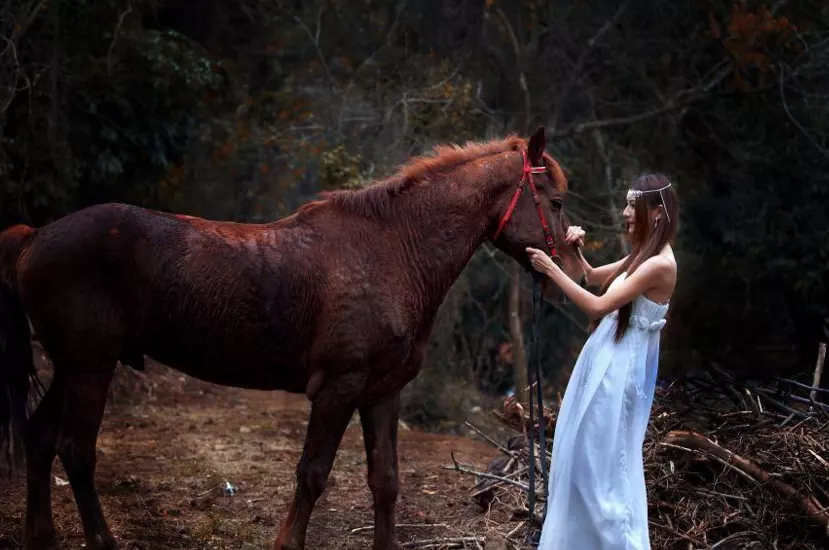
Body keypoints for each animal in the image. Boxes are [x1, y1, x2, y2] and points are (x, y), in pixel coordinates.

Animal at [0, 127, 580, 548]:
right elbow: (313, 474)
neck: (394, 249)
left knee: (40, 437)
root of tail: (33, 236)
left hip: (73, 366)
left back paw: (41, 536)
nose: (571, 272)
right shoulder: (338, 388)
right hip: (91, 368)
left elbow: (386, 481)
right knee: (76, 451)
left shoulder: (382, 392)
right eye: (553, 201)